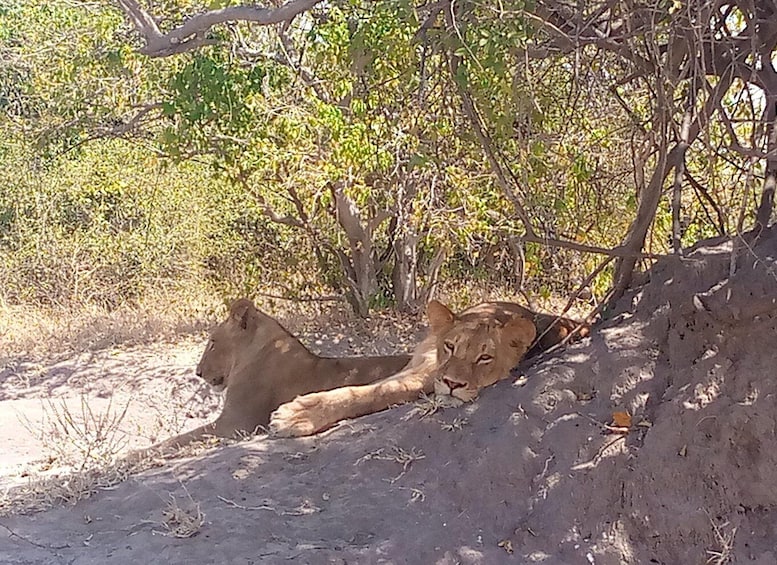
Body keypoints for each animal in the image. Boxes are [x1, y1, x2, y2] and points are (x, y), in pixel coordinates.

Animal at [270, 300, 586, 437]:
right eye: (450, 346)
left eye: (485, 358)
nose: (453, 384)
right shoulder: (422, 367)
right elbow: (376, 385)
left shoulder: (424, 379)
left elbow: (377, 392)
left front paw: (298, 415)